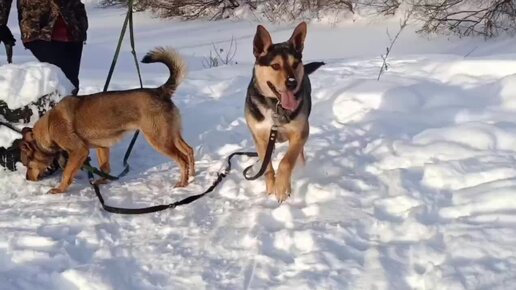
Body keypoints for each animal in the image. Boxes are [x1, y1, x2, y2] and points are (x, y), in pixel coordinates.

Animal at [19, 47, 195, 193]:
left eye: (27, 164)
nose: (27, 178)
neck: (48, 127)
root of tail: (160, 91)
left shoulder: (79, 150)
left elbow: (67, 173)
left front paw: (59, 189)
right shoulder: (102, 147)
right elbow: (105, 168)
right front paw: (102, 182)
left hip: (159, 139)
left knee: (182, 159)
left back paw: (182, 183)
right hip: (172, 135)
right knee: (189, 150)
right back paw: (192, 176)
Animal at [245, 22, 322, 202]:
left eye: (295, 64)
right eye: (275, 66)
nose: (292, 83)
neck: (275, 105)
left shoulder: (300, 133)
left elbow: (286, 162)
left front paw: (281, 187)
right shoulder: (260, 137)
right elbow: (267, 167)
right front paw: (271, 187)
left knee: (299, 157)